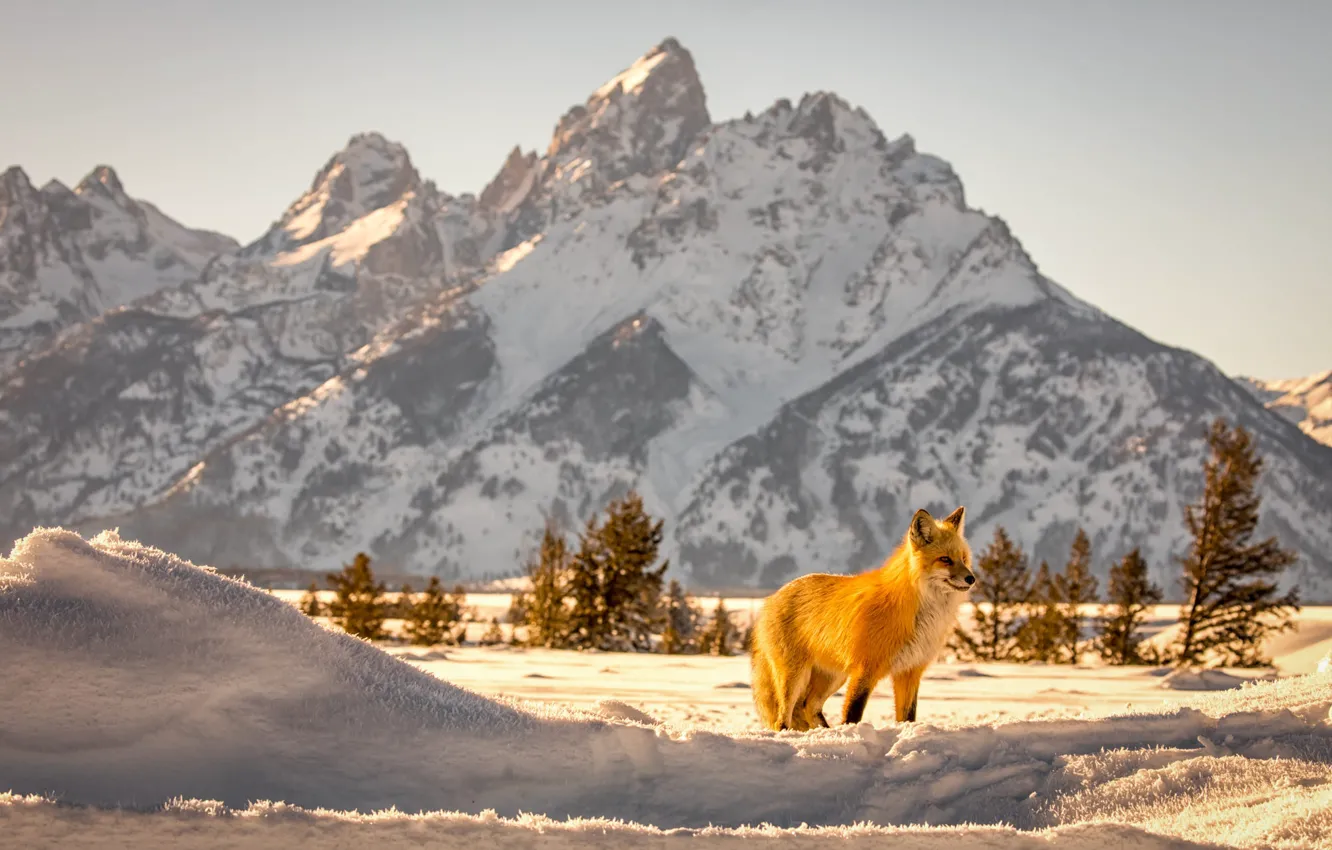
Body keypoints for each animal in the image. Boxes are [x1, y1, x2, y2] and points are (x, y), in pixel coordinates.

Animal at [751, 506, 980, 735]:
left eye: (963, 558)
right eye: (945, 559)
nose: (971, 579)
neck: (921, 615)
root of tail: (773, 597)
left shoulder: (910, 671)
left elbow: (907, 717)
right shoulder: (865, 669)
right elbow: (853, 713)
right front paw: (852, 735)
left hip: (833, 677)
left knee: (809, 706)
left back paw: (826, 731)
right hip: (795, 676)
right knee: (783, 718)